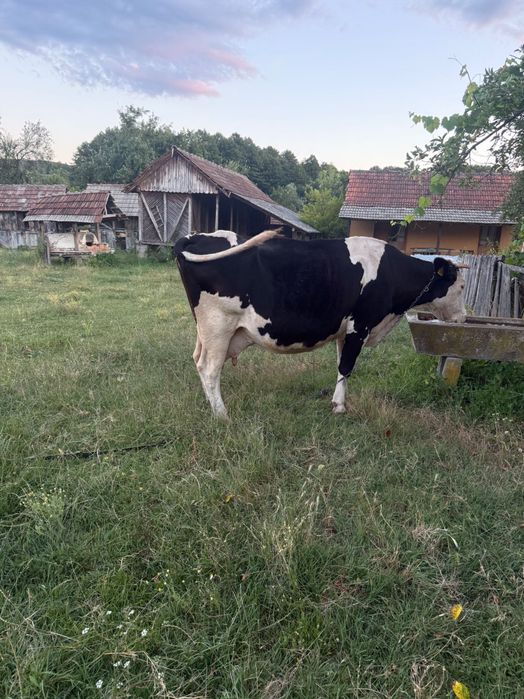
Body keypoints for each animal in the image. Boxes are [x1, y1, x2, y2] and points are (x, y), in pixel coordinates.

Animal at [175, 230, 466, 420]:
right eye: (462, 287)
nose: (463, 318)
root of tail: (193, 237)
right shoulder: (360, 325)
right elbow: (347, 366)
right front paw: (339, 407)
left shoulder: (345, 330)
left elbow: (341, 366)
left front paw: (339, 401)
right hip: (218, 325)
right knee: (209, 369)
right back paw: (222, 415)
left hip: (207, 331)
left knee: (198, 360)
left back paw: (211, 405)